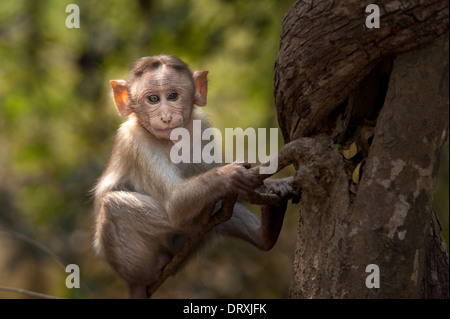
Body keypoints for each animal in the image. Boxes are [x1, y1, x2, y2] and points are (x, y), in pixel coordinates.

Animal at [93, 55, 294, 300]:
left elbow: (235, 192)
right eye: (152, 99)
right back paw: (195, 225)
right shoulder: (135, 141)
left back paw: (266, 234)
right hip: (129, 261)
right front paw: (229, 174)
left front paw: (273, 183)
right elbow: (174, 202)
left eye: (173, 96)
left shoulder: (201, 126)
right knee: (113, 205)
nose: (166, 117)